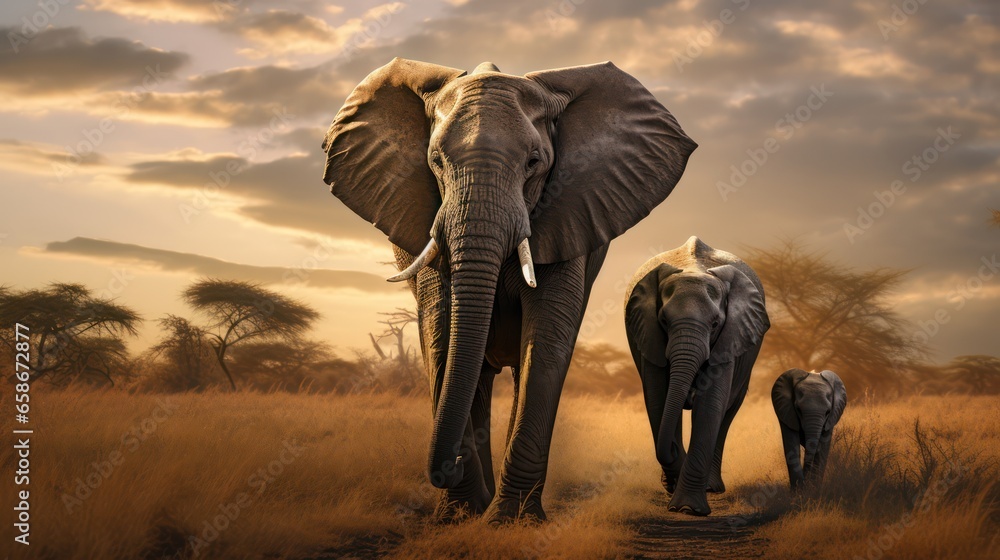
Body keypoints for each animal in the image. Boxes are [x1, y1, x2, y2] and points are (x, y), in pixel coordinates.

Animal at [321, 58, 697, 523]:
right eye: (435, 161)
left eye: (534, 162)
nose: (449, 464)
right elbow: (439, 332)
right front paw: (458, 518)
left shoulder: (570, 214)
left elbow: (547, 341)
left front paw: (511, 521)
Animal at [624, 236, 769, 516]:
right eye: (664, 321)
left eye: (715, 324)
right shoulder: (649, 334)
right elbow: (658, 400)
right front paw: (675, 488)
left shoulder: (730, 337)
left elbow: (710, 405)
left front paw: (688, 508)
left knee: (727, 414)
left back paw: (711, 487)